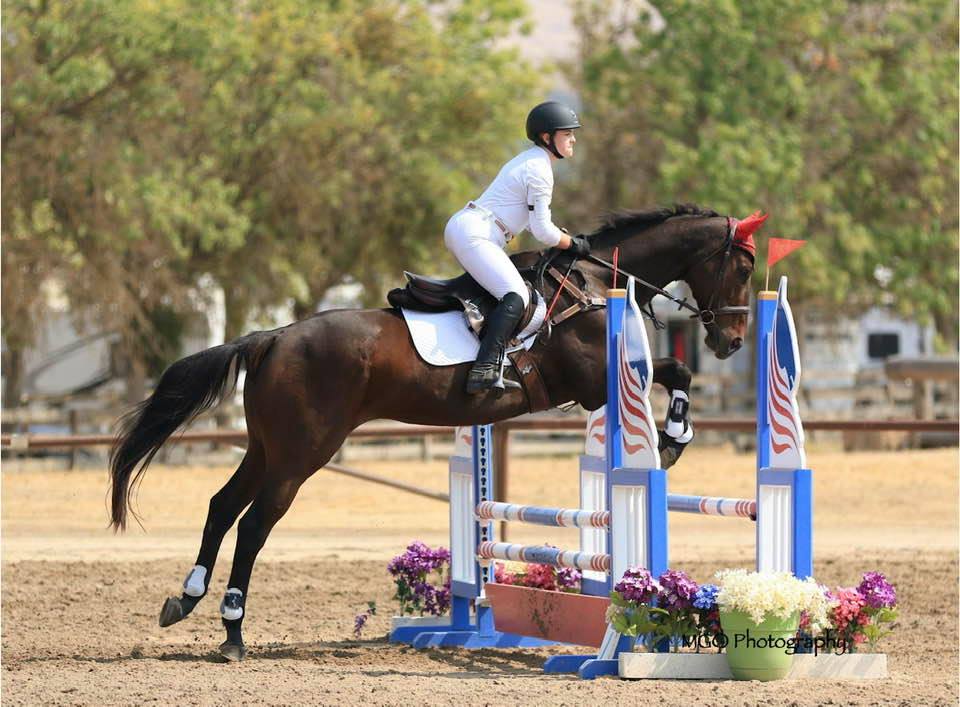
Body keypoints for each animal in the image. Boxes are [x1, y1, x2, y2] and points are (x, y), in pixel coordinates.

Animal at [108, 203, 762, 661]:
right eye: (744, 266)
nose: (730, 341)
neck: (595, 288)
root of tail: (272, 336)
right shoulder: (595, 386)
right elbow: (674, 373)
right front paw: (673, 437)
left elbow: (675, 375)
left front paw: (675, 434)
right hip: (302, 453)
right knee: (252, 526)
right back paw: (232, 632)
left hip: (268, 447)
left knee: (221, 507)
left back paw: (185, 599)